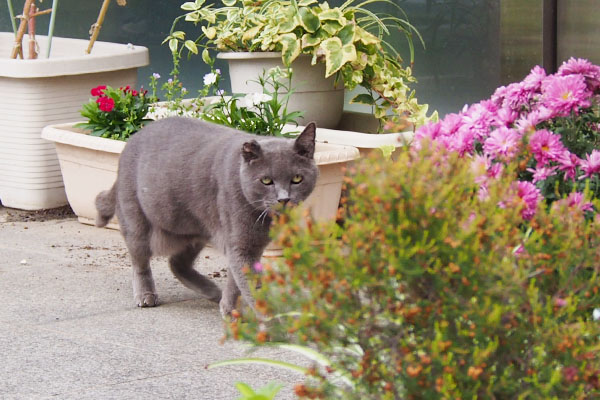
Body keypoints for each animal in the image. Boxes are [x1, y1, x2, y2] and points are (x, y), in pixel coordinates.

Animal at [95, 117, 318, 318]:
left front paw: (229, 308)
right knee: (140, 261)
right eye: (266, 181)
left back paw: (212, 292)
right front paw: (273, 318)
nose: (284, 199)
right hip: (136, 220)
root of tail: (132, 140)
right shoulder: (241, 243)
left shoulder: (246, 245)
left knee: (176, 263)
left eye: (297, 178)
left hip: (195, 229)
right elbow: (251, 283)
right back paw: (146, 295)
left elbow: (235, 280)